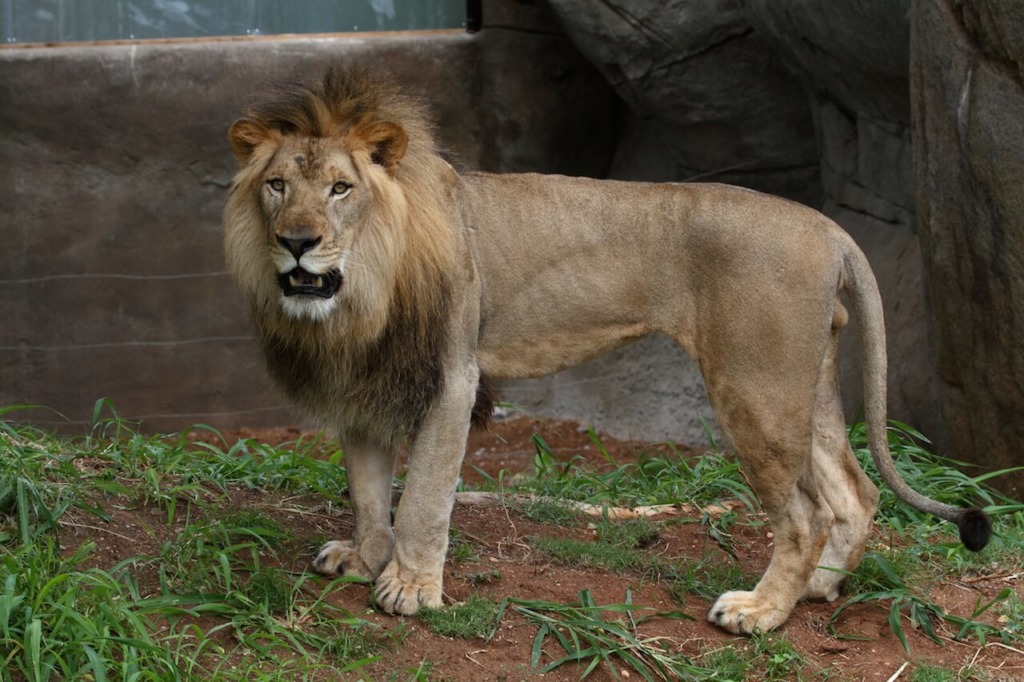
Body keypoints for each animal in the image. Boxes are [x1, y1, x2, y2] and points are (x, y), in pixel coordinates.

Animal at [222, 63, 983, 630]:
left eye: (341, 188)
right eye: (278, 185)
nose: (297, 242)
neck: (360, 293)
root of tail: (830, 227)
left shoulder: (451, 376)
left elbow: (425, 496)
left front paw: (410, 588)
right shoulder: (361, 379)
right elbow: (366, 486)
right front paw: (363, 558)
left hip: (754, 387)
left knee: (807, 514)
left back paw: (762, 611)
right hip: (804, 381)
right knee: (854, 492)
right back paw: (817, 591)